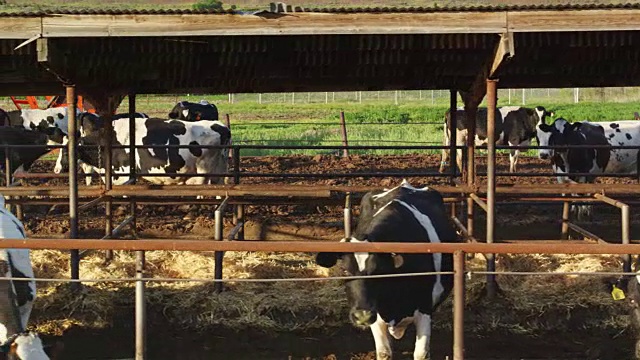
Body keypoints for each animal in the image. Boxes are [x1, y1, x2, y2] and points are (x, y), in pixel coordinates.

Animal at [314, 180, 456, 360]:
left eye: (379, 270)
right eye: (345, 271)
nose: (362, 316)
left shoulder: (425, 307)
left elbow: (421, 354)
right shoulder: (377, 314)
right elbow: (384, 352)